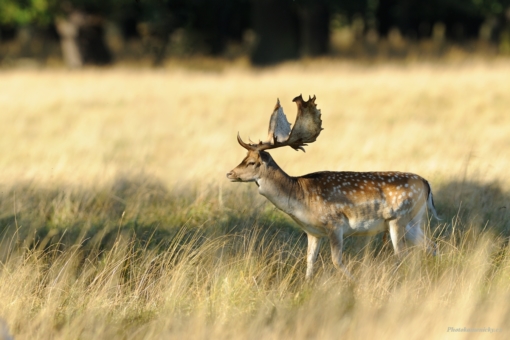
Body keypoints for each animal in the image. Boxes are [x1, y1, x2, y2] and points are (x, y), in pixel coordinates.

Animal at [227, 95, 438, 278]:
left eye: (252, 162)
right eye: (243, 158)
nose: (230, 173)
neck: (300, 198)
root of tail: (426, 183)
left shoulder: (334, 224)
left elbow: (336, 261)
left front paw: (355, 284)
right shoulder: (313, 232)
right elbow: (309, 262)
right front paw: (307, 286)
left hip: (397, 219)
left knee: (403, 255)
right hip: (412, 222)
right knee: (431, 246)